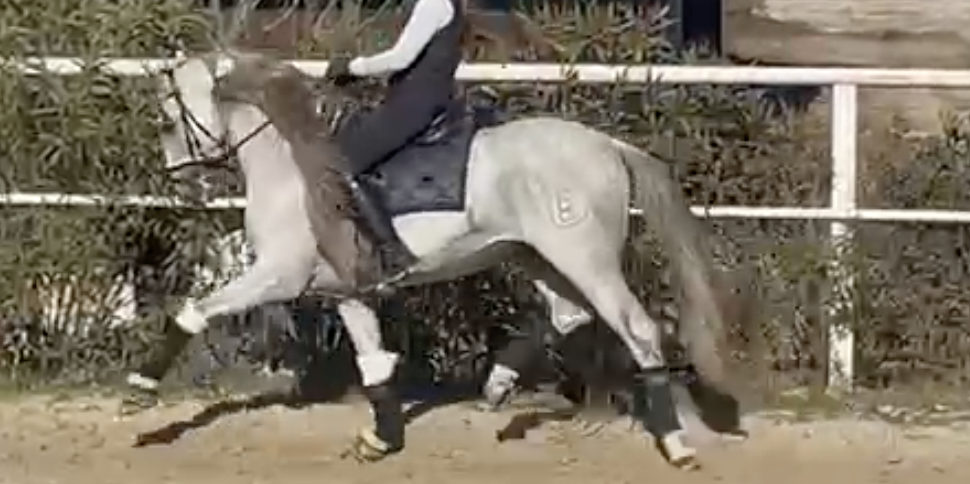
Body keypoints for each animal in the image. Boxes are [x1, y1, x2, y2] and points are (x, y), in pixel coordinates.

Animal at [122, 49, 738, 469]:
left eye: (167, 121)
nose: (183, 185)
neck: (294, 165)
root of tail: (607, 146)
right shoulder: (345, 291)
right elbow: (374, 363)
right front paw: (380, 440)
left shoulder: (279, 274)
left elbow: (193, 312)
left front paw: (138, 391)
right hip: (535, 255)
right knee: (566, 316)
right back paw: (499, 386)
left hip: (584, 258)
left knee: (637, 330)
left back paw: (677, 446)